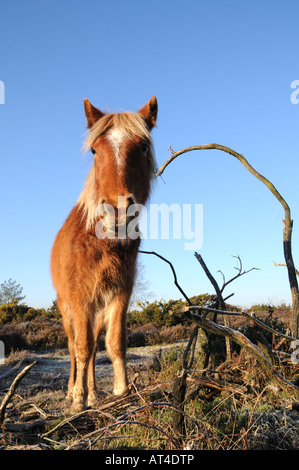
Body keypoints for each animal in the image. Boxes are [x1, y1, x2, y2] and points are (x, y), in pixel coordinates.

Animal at [51, 97, 159, 414]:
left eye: (143, 147)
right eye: (94, 150)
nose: (118, 210)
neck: (100, 242)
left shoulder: (120, 293)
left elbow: (115, 342)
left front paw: (120, 390)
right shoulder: (79, 299)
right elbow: (82, 347)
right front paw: (77, 399)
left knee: (94, 344)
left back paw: (94, 394)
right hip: (67, 309)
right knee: (74, 347)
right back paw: (72, 392)